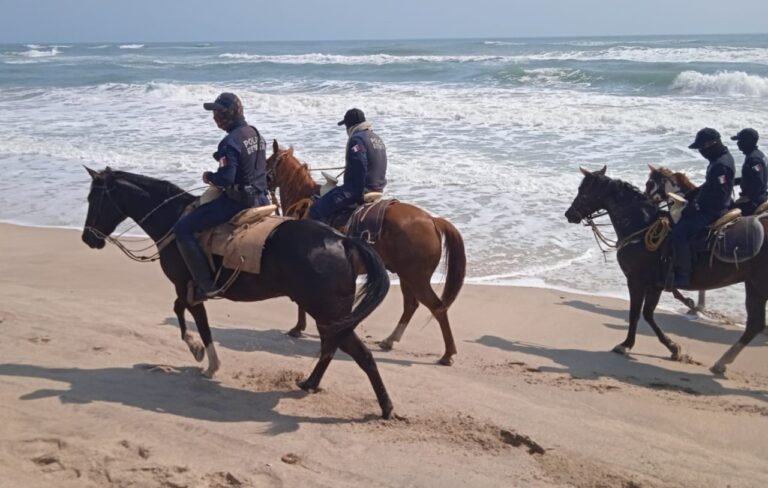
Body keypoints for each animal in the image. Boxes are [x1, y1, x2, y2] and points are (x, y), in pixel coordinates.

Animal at [81, 166, 396, 419]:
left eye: (93, 199)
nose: (87, 238)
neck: (173, 220)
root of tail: (343, 240)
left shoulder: (188, 288)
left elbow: (195, 321)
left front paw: (204, 357)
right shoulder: (188, 290)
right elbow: (180, 310)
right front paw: (199, 352)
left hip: (326, 312)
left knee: (359, 354)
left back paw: (385, 407)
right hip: (330, 316)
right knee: (332, 347)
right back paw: (312, 384)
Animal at [266, 141, 466, 365]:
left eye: (267, 161)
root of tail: (432, 220)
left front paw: (298, 328)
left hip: (417, 279)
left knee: (437, 308)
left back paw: (448, 354)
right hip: (407, 276)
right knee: (411, 305)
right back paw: (390, 340)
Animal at [565, 166, 768, 375]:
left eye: (583, 191)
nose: (569, 214)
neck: (641, 227)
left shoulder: (636, 281)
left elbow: (636, 313)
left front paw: (627, 344)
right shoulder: (655, 285)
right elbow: (647, 313)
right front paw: (673, 347)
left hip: (759, 284)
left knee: (755, 324)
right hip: (753, 285)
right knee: (755, 324)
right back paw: (721, 362)